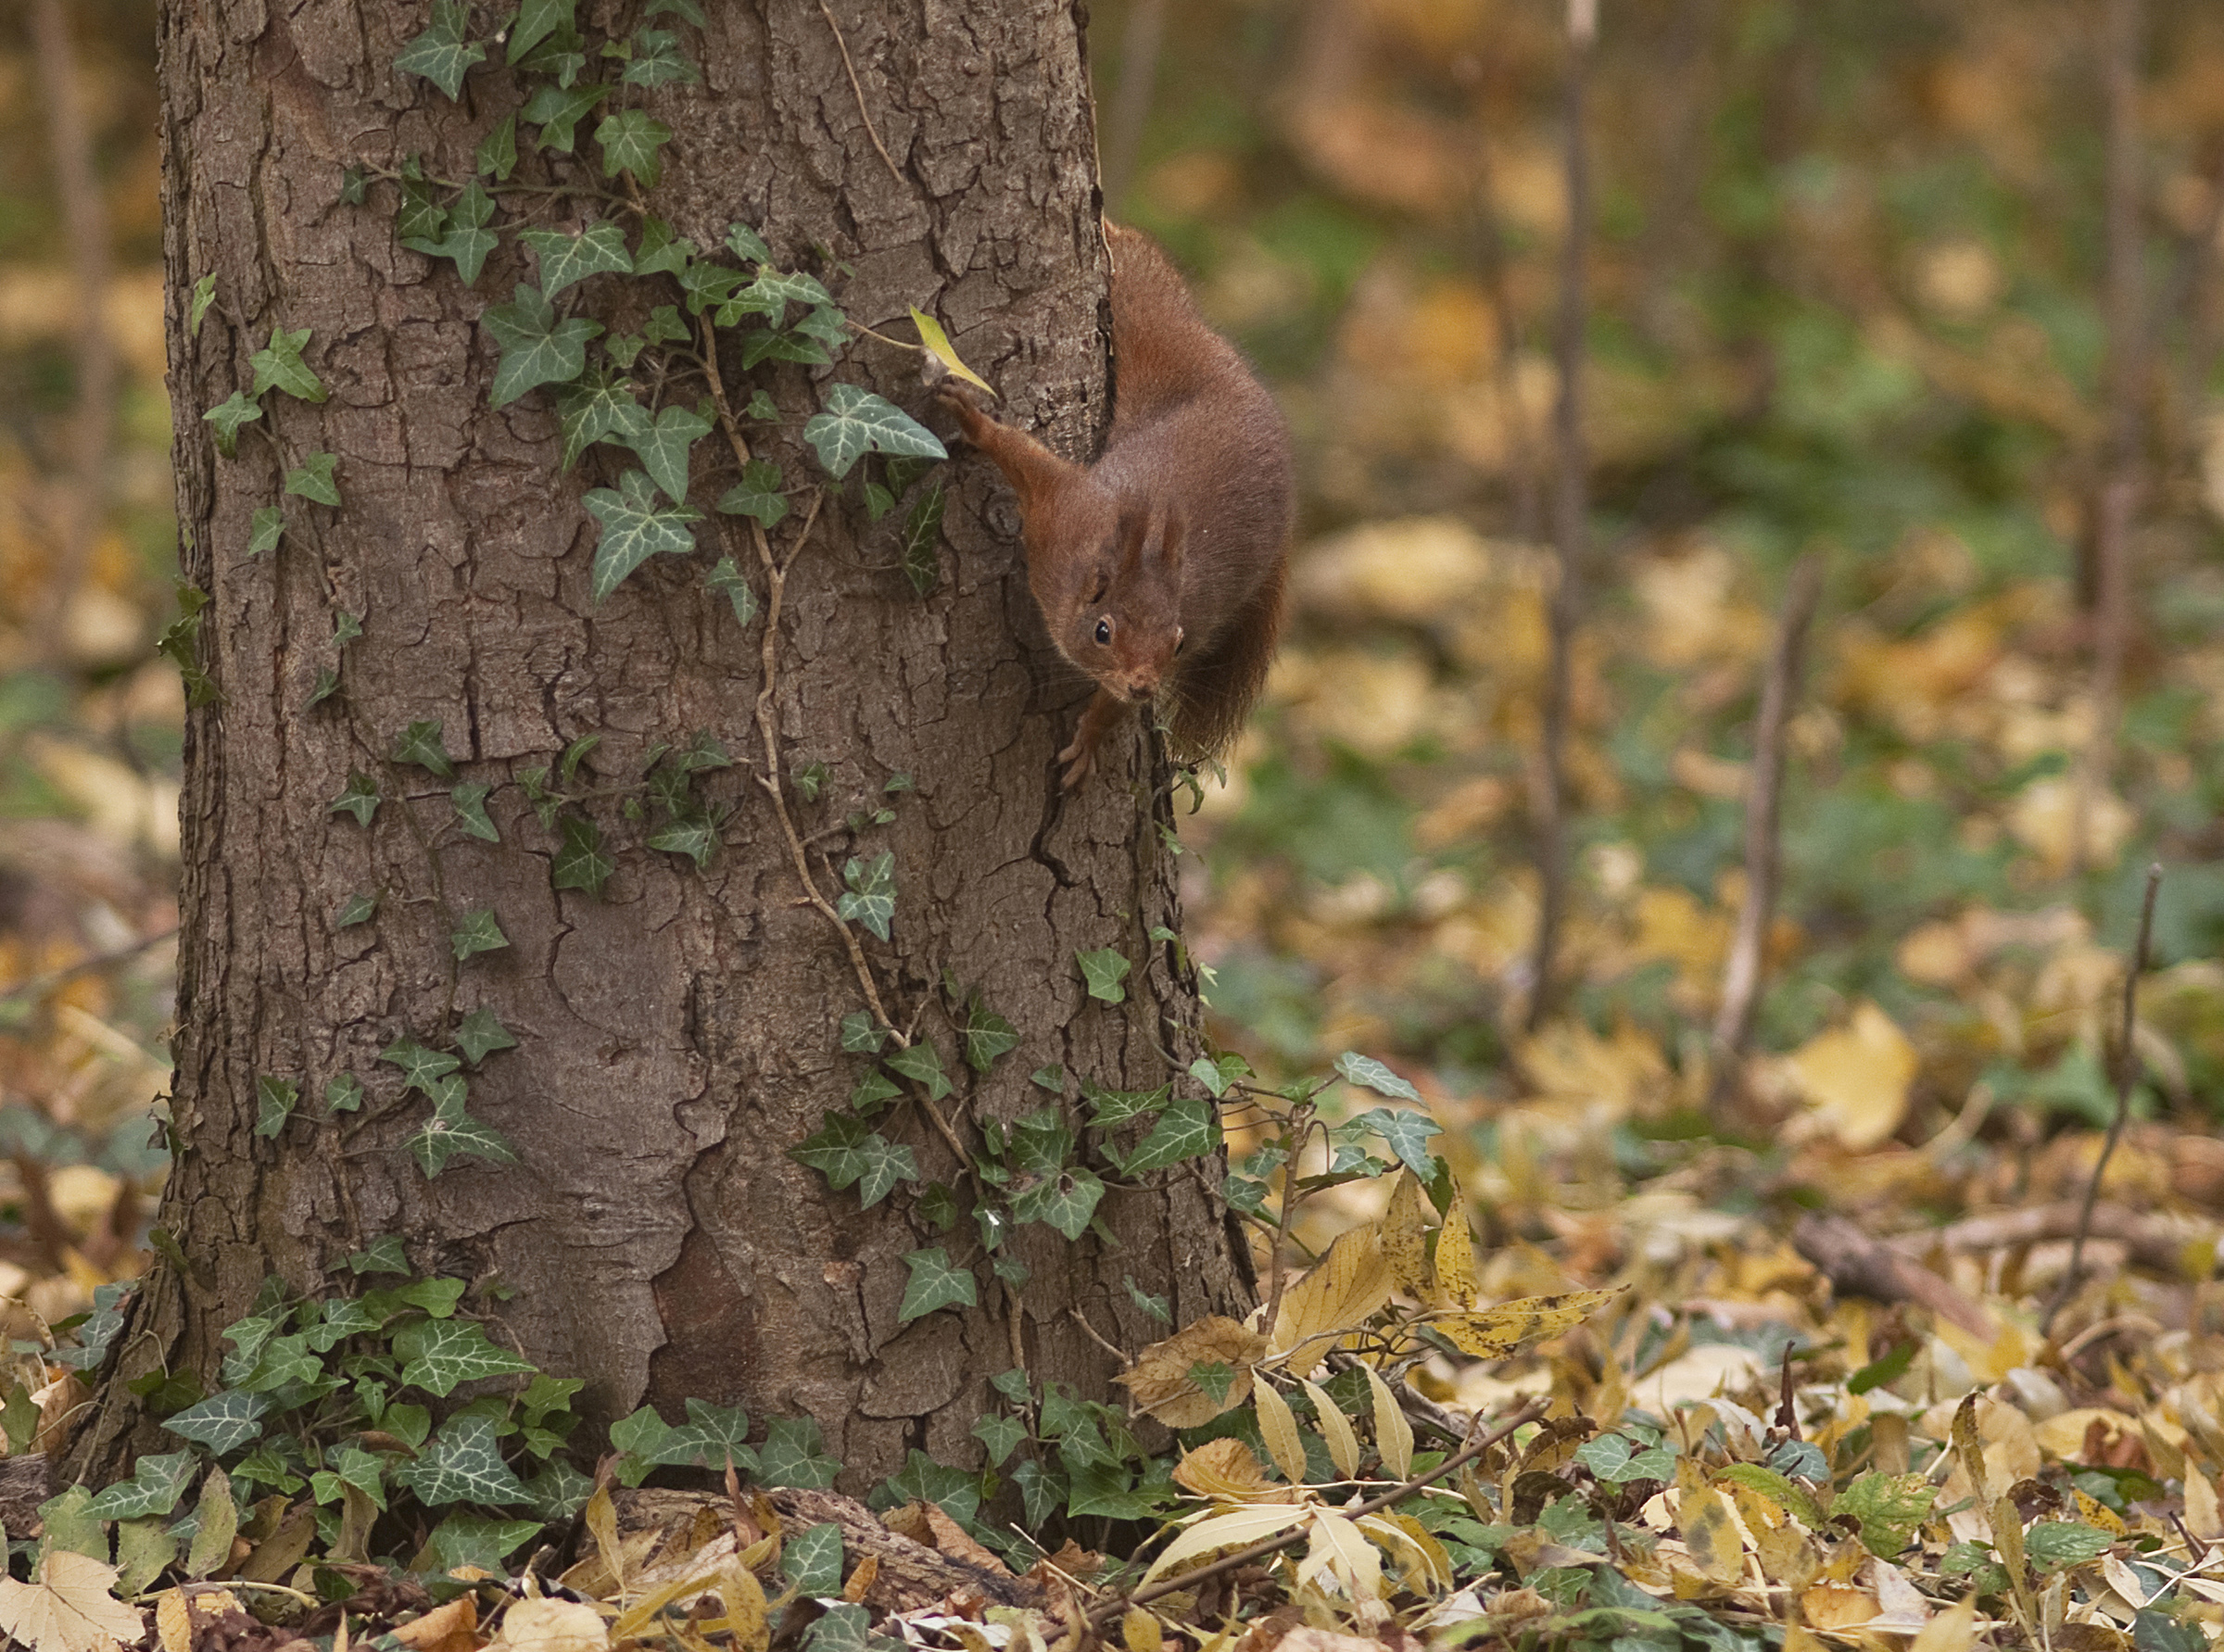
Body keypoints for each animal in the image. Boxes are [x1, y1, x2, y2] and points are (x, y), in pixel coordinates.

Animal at [939, 223, 1293, 790]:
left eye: (1176, 643)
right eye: (1103, 631)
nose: (1145, 686)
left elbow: (1113, 704)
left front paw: (1091, 737)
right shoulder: (1063, 518)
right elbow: (1026, 460)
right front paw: (978, 424)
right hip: (1152, 332)